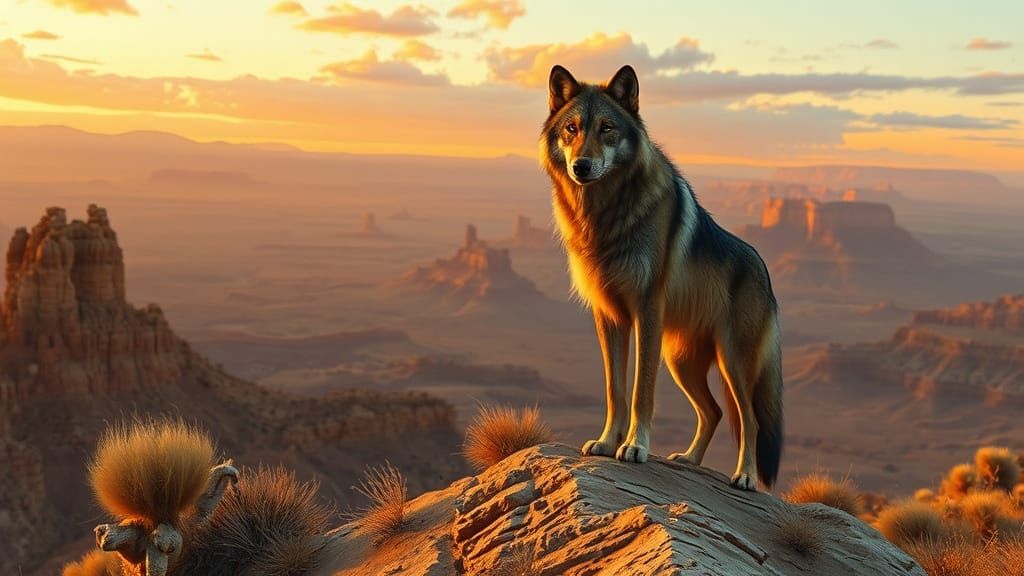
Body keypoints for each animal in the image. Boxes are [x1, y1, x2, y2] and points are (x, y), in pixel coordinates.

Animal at [540, 64, 783, 490]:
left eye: (607, 128)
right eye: (571, 128)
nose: (581, 166)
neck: (604, 215)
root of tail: (765, 275)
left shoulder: (647, 310)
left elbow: (641, 391)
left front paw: (635, 447)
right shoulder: (609, 317)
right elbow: (615, 390)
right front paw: (607, 442)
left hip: (732, 363)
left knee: (748, 420)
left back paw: (745, 476)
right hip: (681, 362)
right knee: (714, 412)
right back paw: (688, 460)